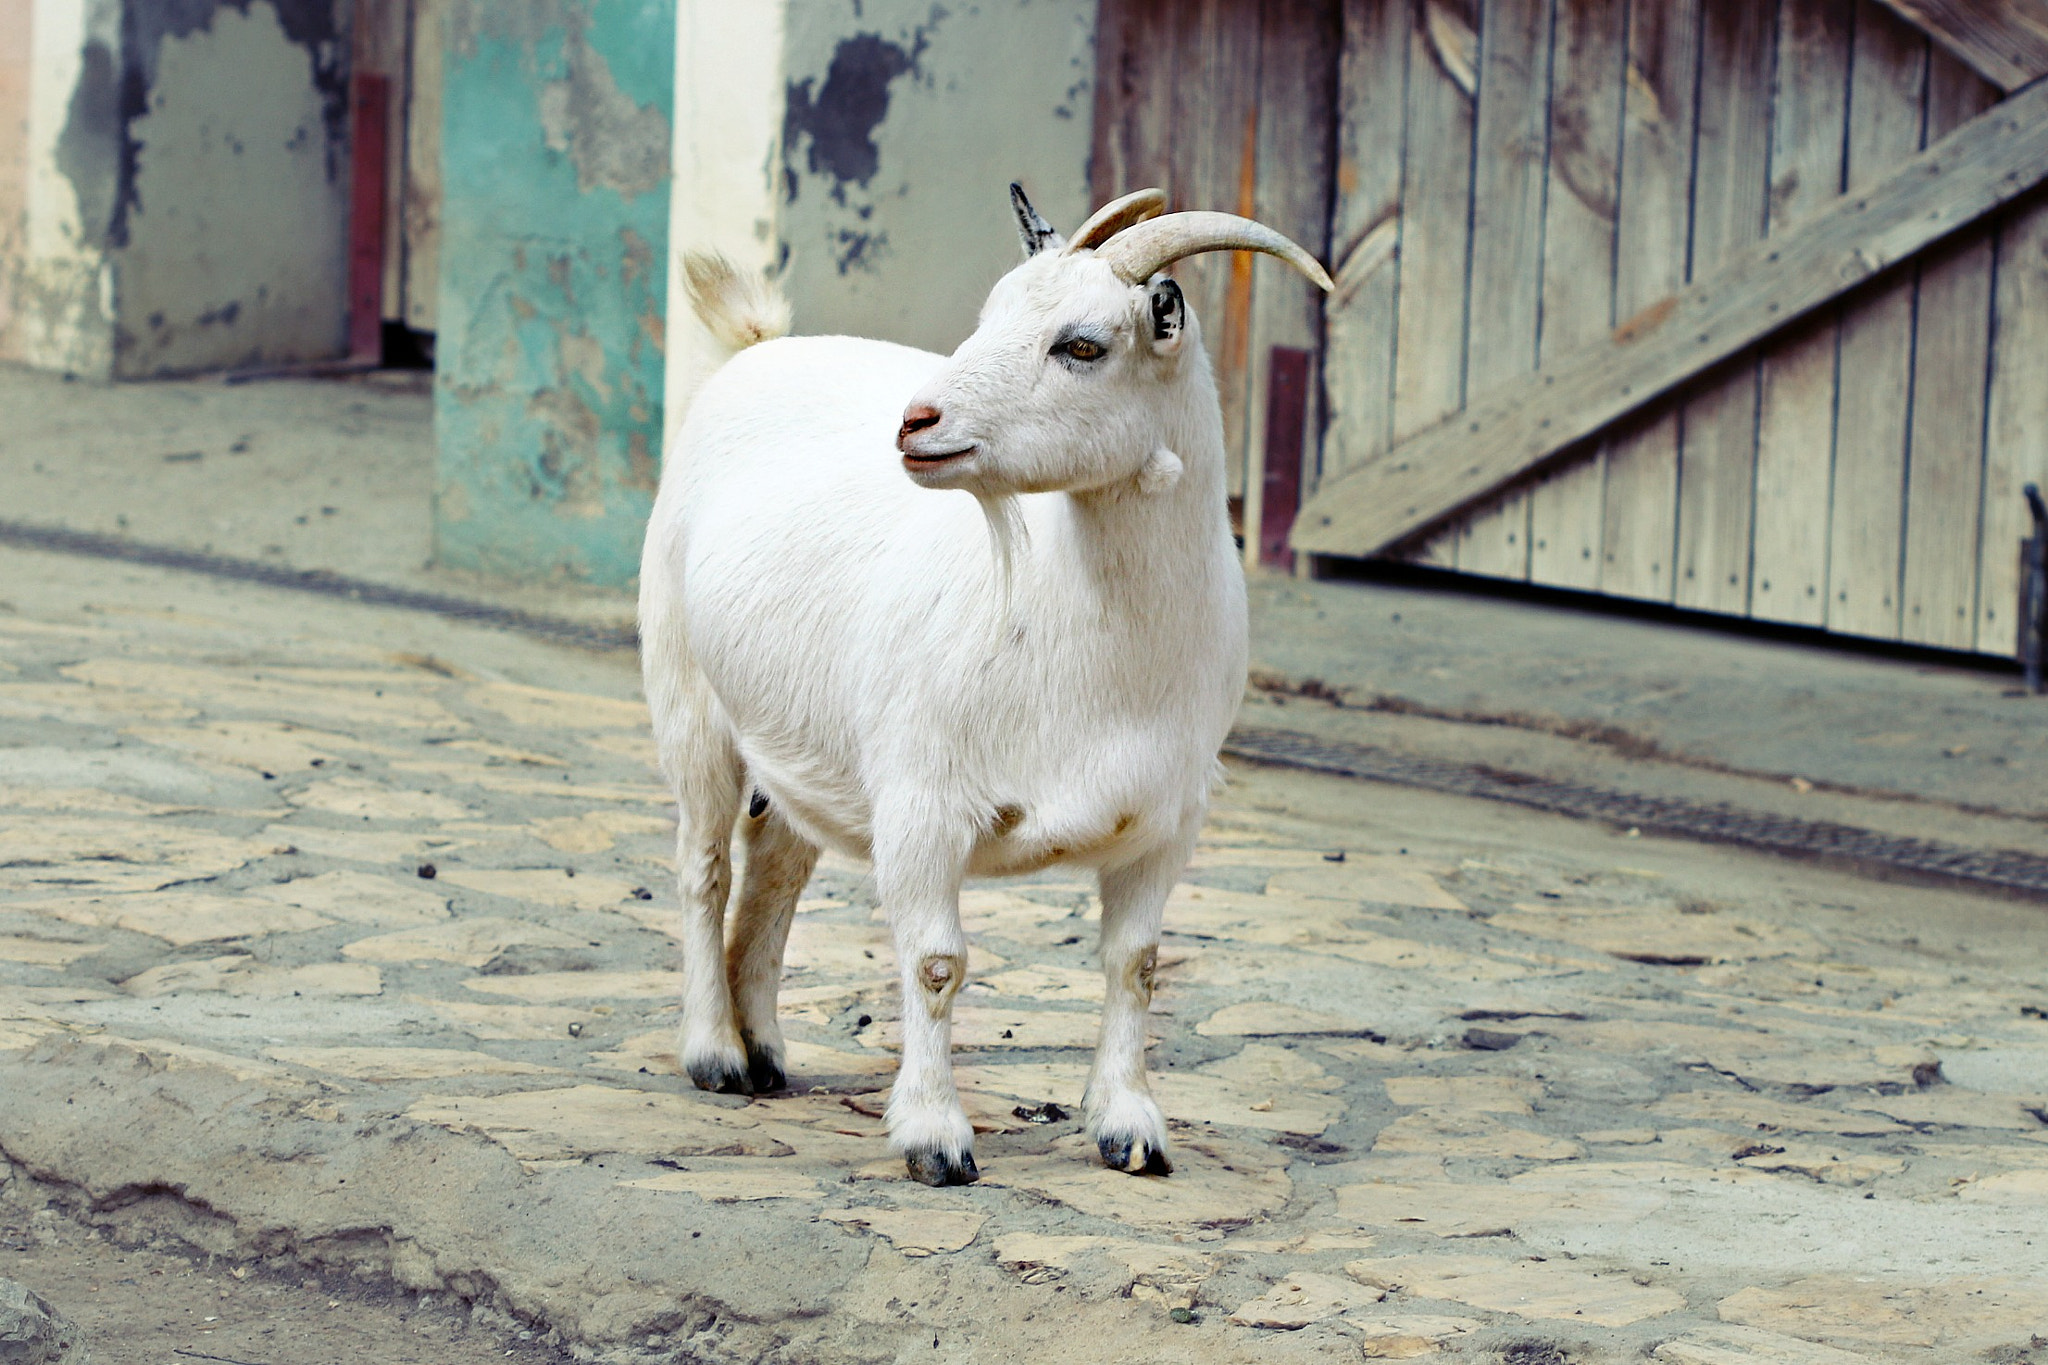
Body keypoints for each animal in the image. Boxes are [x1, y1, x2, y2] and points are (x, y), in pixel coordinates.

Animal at [638, 184, 1332, 1186]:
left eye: (1082, 345)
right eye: (989, 315)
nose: (916, 422)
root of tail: (759, 346)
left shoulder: (1164, 821)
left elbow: (1136, 964)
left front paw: (1130, 1129)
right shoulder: (922, 802)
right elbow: (936, 963)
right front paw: (934, 1137)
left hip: (809, 740)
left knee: (776, 864)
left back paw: (763, 1045)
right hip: (688, 695)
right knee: (704, 862)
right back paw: (714, 1053)